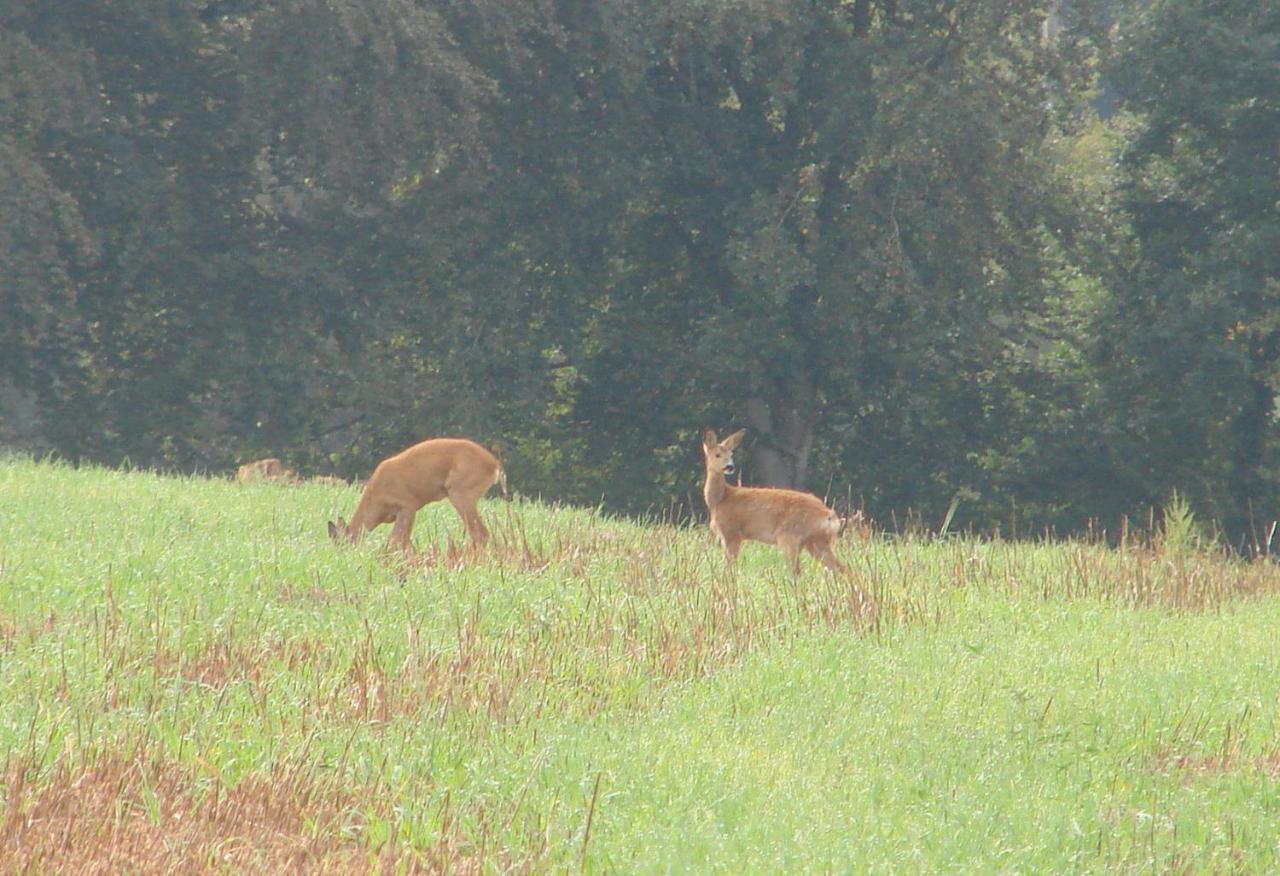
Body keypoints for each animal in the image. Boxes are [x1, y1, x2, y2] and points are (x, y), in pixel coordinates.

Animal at [327, 438, 506, 553]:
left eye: (341, 544)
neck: (376, 501)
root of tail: (494, 465)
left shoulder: (408, 505)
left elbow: (397, 541)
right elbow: (403, 541)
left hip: (460, 492)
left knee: (480, 534)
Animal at [701, 430, 849, 578]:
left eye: (731, 454)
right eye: (718, 454)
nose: (730, 467)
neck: (720, 499)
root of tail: (830, 516)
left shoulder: (732, 532)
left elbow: (729, 568)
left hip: (789, 536)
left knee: (797, 572)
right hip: (816, 541)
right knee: (841, 568)